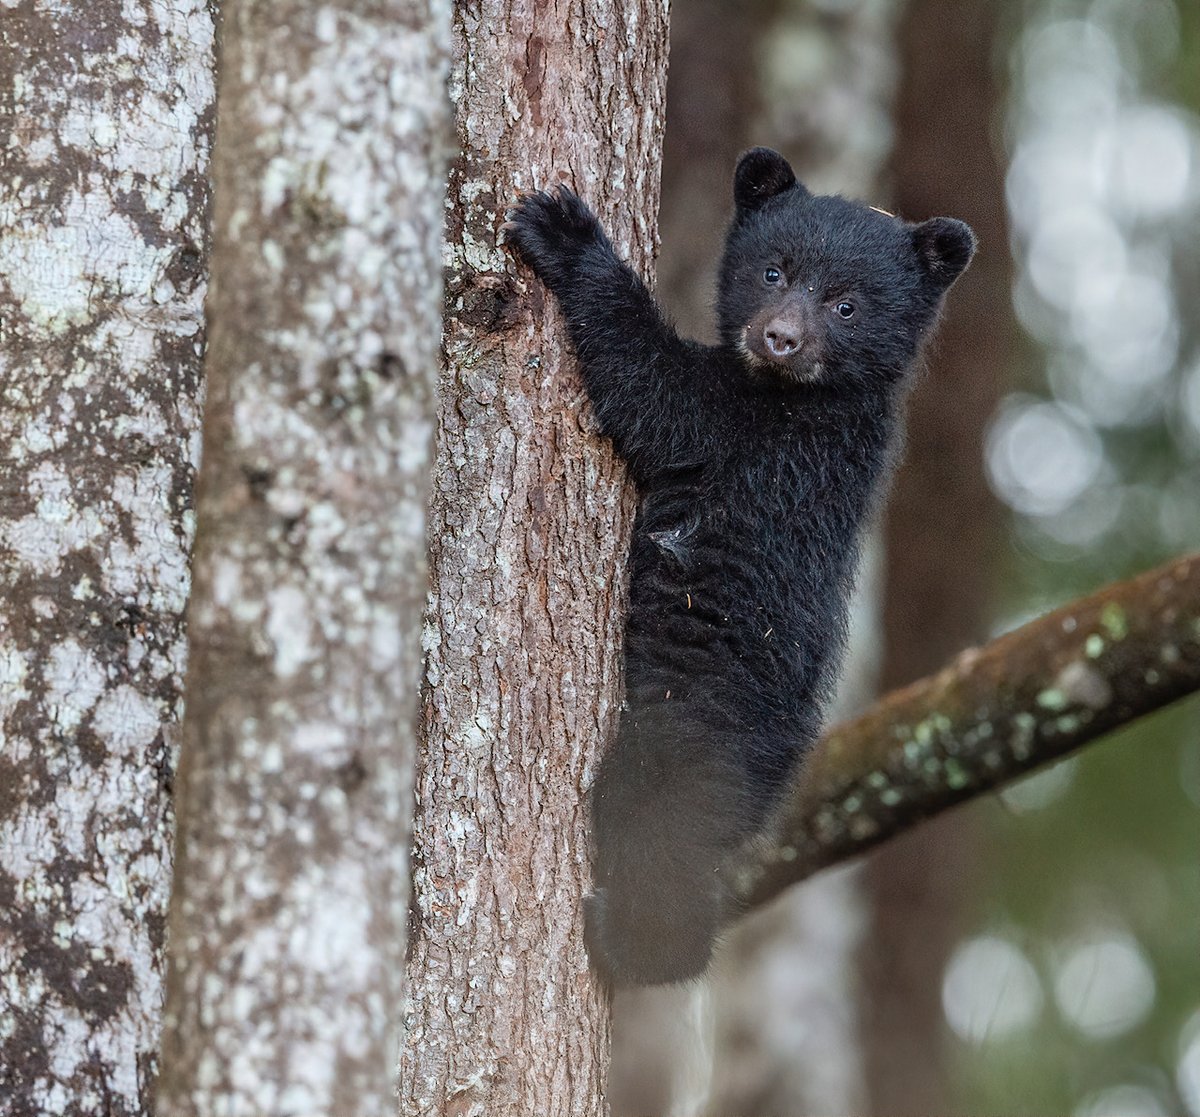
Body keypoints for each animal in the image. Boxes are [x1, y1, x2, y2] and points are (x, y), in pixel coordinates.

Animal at [505, 147, 975, 985]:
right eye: (773, 270)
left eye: (847, 305)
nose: (780, 337)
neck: (800, 394)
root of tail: (777, 775)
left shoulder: (757, 437)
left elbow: (657, 391)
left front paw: (564, 230)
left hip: (686, 737)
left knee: (660, 837)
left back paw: (628, 939)